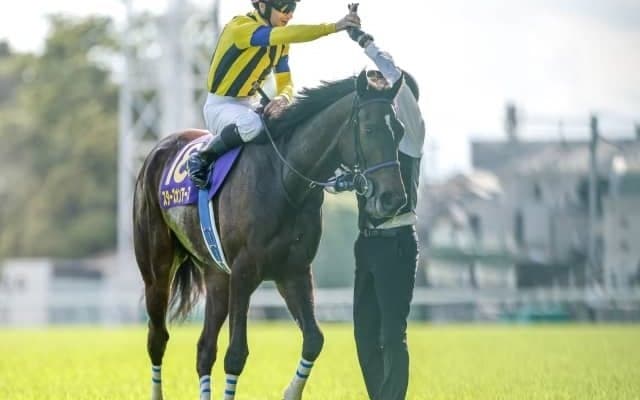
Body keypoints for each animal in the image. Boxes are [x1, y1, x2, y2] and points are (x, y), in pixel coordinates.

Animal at [133, 70, 407, 400]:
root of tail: (158, 150)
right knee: (157, 339)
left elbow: (314, 339)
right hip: (157, 272)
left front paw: (291, 392)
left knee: (204, 349)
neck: (285, 179)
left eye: (400, 131)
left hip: (217, 276)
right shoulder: (244, 272)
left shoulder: (293, 271)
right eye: (368, 128)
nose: (393, 198)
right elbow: (236, 354)